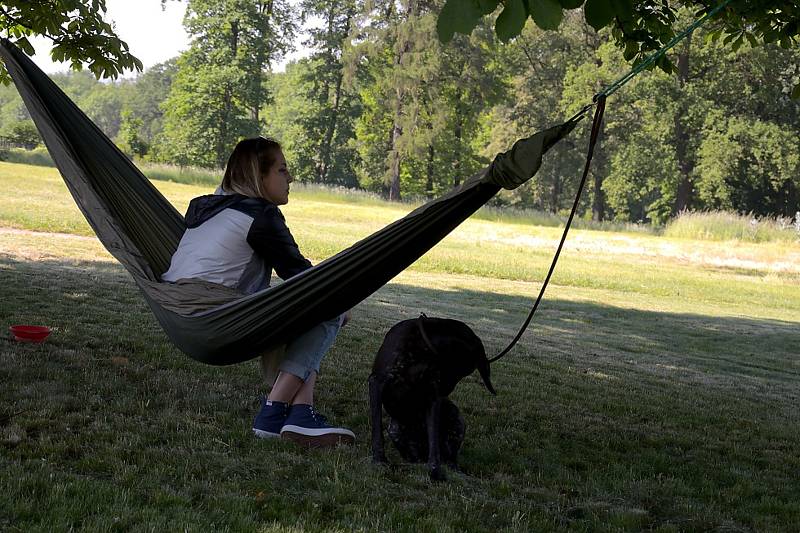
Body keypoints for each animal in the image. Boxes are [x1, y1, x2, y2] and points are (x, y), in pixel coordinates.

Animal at [368, 314, 494, 480]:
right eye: (462, 370)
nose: (445, 391)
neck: (423, 349)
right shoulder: (378, 382)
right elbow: (377, 431)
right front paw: (379, 460)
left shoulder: (432, 397)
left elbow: (434, 442)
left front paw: (435, 471)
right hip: (395, 429)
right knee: (415, 457)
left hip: (457, 419)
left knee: (448, 456)